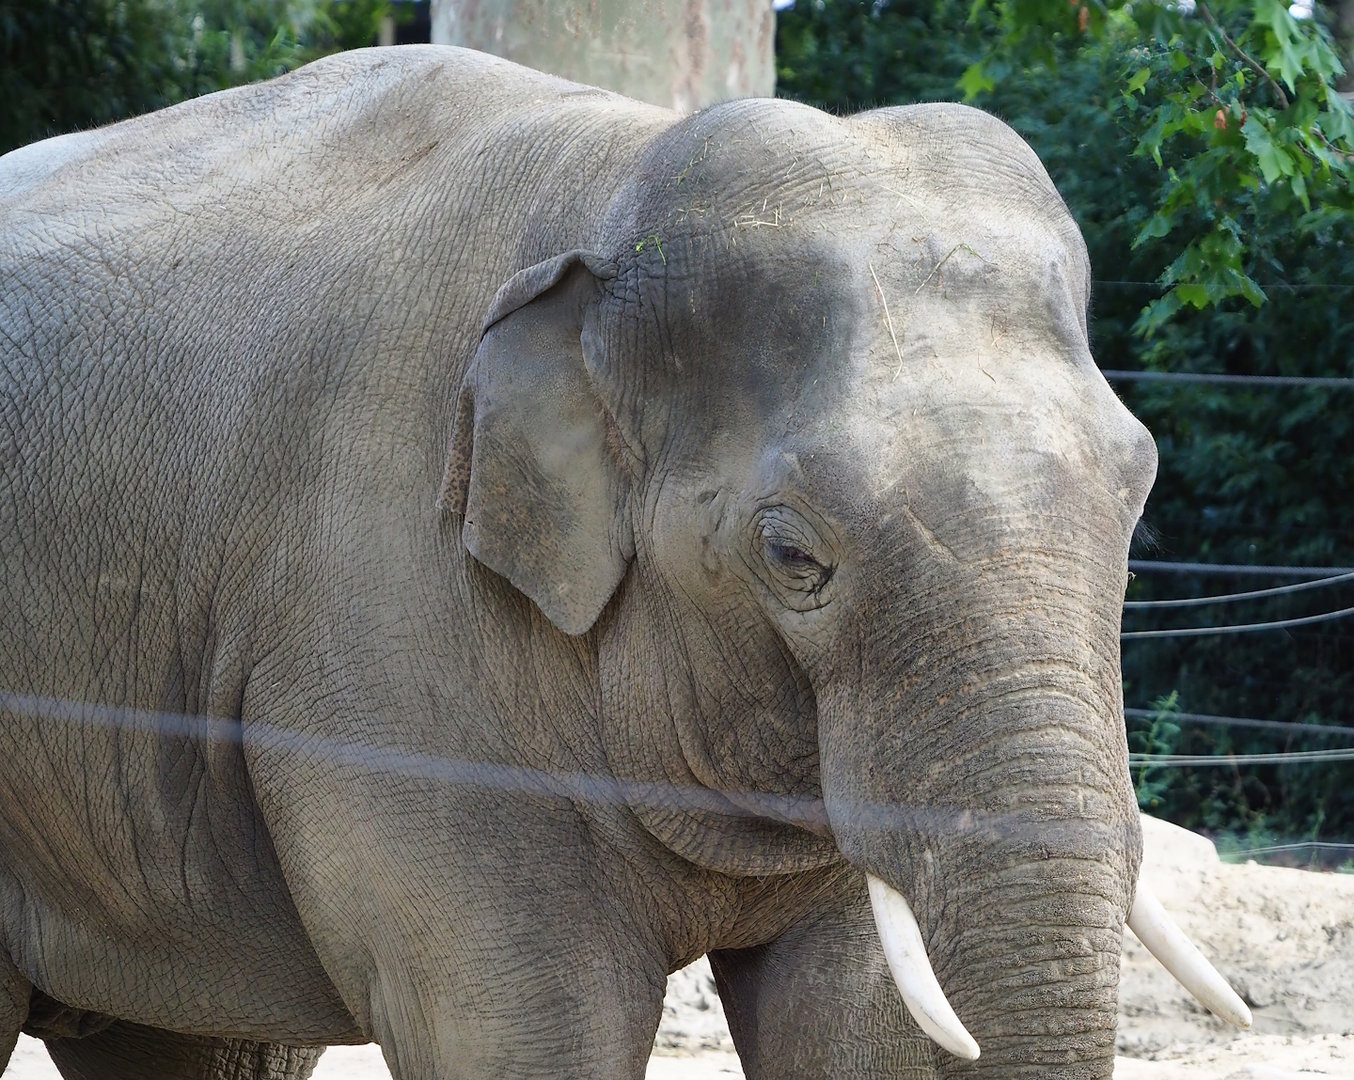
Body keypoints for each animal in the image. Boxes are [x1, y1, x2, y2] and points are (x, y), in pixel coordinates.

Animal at [0, 45, 1249, 1079]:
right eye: (791, 553)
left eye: (1135, 490)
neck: (618, 175)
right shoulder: (376, 638)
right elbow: (524, 1033)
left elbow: (859, 1026)